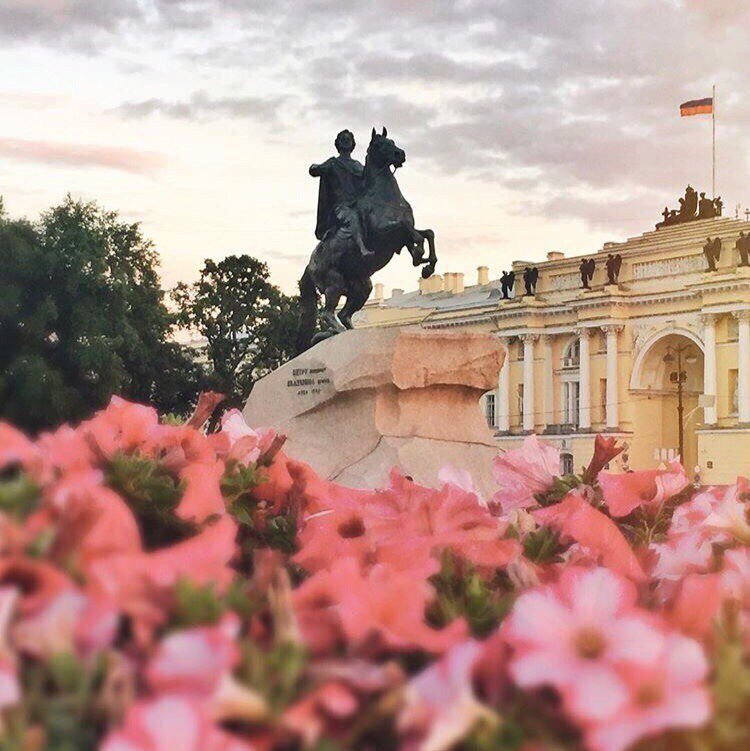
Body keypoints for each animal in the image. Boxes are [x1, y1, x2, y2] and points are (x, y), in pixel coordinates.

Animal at [296, 128, 438, 354]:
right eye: (379, 144)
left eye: (392, 141)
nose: (400, 154)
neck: (385, 198)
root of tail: (309, 267)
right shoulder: (384, 234)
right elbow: (410, 232)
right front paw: (419, 256)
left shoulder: (401, 237)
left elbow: (428, 233)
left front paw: (426, 266)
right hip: (334, 282)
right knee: (327, 312)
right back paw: (338, 331)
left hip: (362, 287)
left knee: (344, 314)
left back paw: (351, 332)